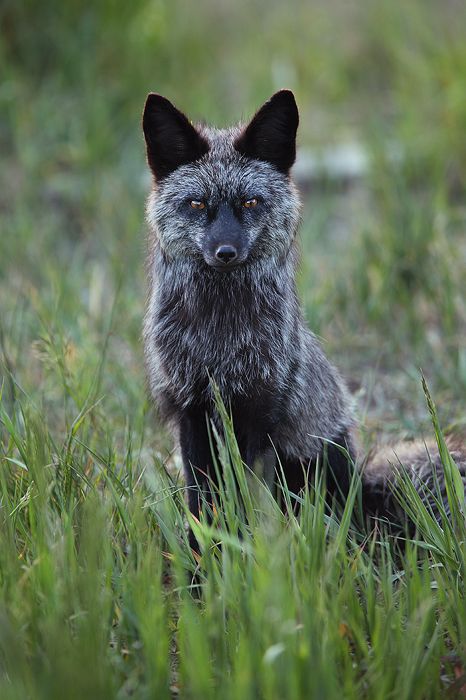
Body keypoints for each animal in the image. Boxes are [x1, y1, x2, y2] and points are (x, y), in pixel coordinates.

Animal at [143, 90, 466, 540]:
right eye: (196, 203)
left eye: (250, 202)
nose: (225, 252)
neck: (220, 340)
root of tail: (362, 486)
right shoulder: (192, 408)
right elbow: (203, 499)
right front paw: (205, 551)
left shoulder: (259, 406)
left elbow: (238, 493)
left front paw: (238, 547)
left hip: (314, 467)